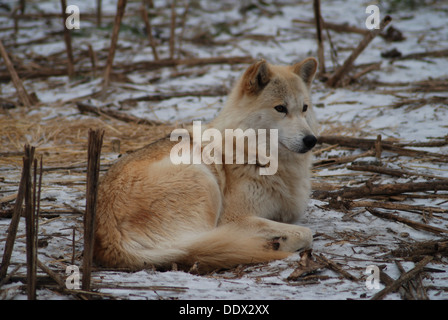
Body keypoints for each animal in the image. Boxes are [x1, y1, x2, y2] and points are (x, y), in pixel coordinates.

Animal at [93, 57, 318, 272]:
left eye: (304, 108)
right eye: (280, 108)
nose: (311, 140)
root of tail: (110, 243)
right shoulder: (234, 218)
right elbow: (307, 232)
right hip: (202, 178)